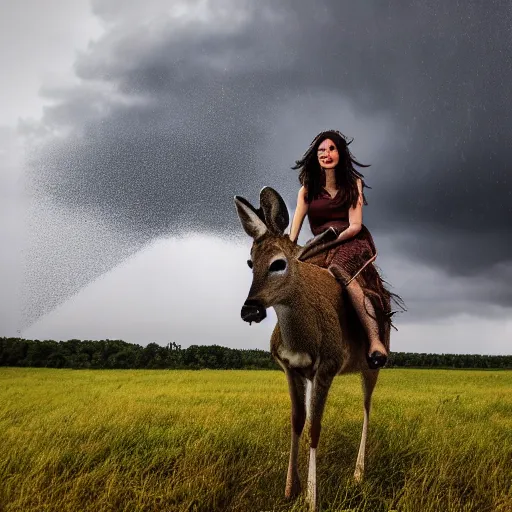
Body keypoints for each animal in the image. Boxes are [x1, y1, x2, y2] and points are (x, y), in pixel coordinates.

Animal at [234, 186, 390, 510]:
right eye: (250, 263)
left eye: (279, 263)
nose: (249, 309)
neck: (302, 338)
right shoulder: (291, 368)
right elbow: (297, 422)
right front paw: (289, 490)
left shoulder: (328, 366)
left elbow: (315, 429)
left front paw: (311, 497)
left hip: (372, 365)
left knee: (367, 407)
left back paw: (358, 473)